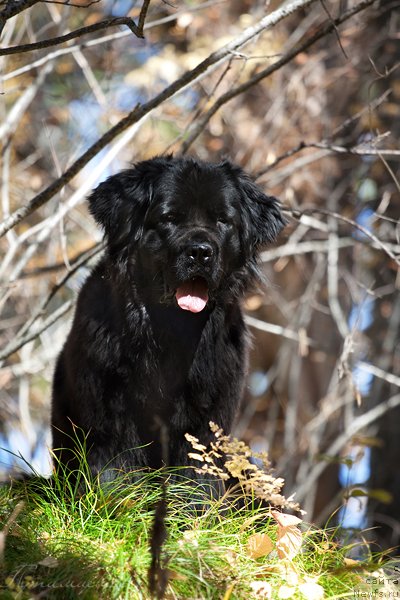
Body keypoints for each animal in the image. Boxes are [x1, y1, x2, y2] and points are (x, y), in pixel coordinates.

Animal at [51, 156, 284, 488]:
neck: (170, 330)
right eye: (170, 218)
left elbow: (195, 473)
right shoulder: (106, 403)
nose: (200, 252)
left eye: (222, 221)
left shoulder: (207, 411)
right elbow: (112, 468)